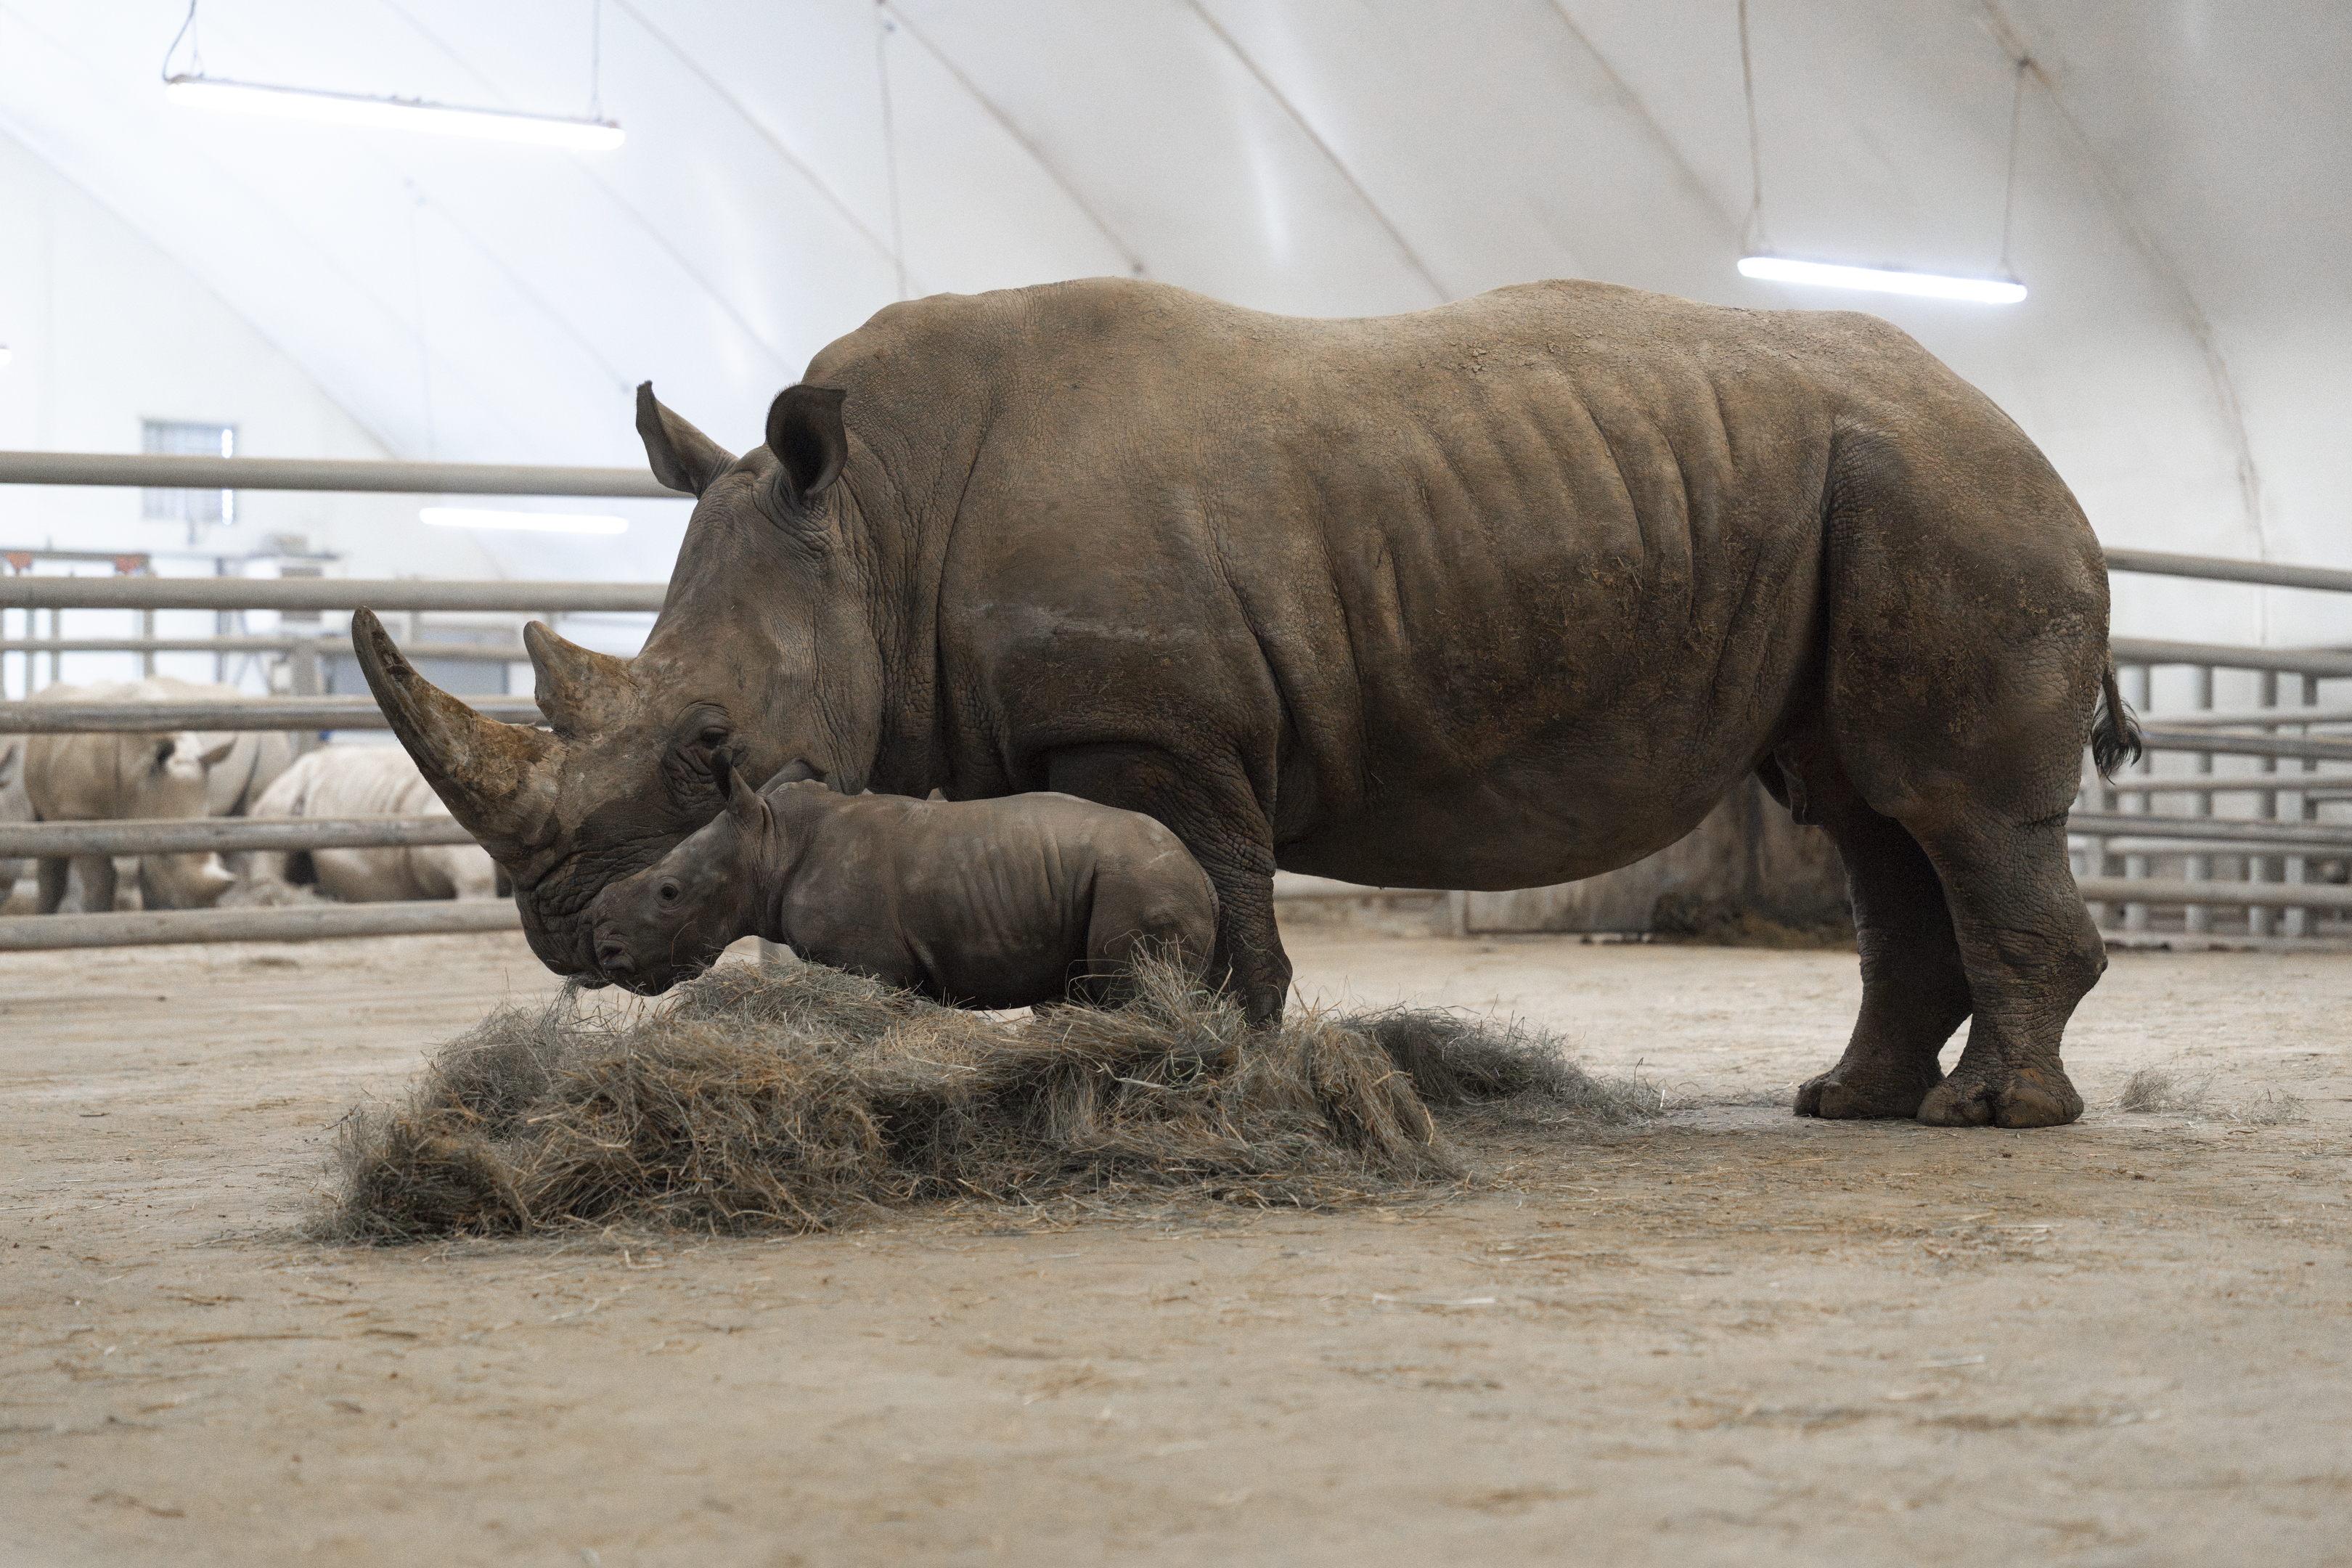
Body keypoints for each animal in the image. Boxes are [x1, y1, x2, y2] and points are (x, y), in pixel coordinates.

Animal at [591, 756, 1217, 1004]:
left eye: (669, 894)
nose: (606, 952)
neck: (770, 842)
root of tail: (1203, 877)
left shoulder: (873, 963)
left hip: (1140, 881)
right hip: (1143, 878)